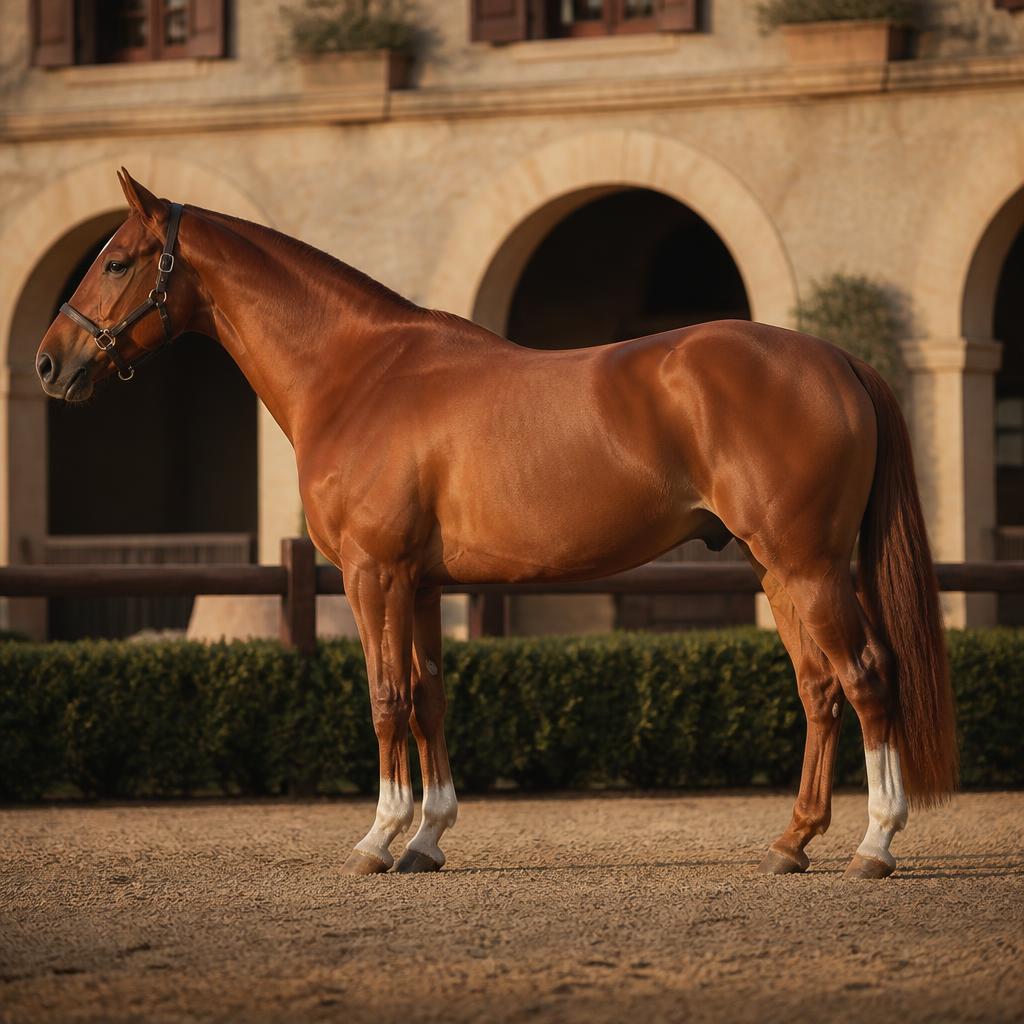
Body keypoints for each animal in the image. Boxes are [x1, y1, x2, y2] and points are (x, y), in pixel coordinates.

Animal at [36, 169, 957, 879]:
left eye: (115, 260)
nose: (50, 362)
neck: (360, 373)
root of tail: (836, 358)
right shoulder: (420, 584)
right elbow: (430, 699)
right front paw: (428, 839)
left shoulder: (373, 574)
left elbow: (386, 698)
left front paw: (378, 838)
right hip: (780, 571)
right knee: (819, 688)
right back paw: (793, 841)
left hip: (809, 567)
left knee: (867, 678)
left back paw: (875, 846)